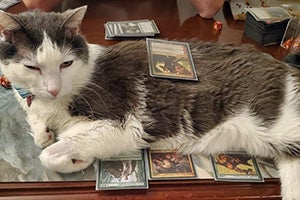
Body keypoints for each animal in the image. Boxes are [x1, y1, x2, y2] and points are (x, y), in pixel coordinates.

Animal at [0, 5, 300, 199]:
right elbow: (40, 134)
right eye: (32, 67)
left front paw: (75, 158)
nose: (53, 89)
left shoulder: (124, 124)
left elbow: (50, 153)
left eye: (66, 63)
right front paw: (46, 133)